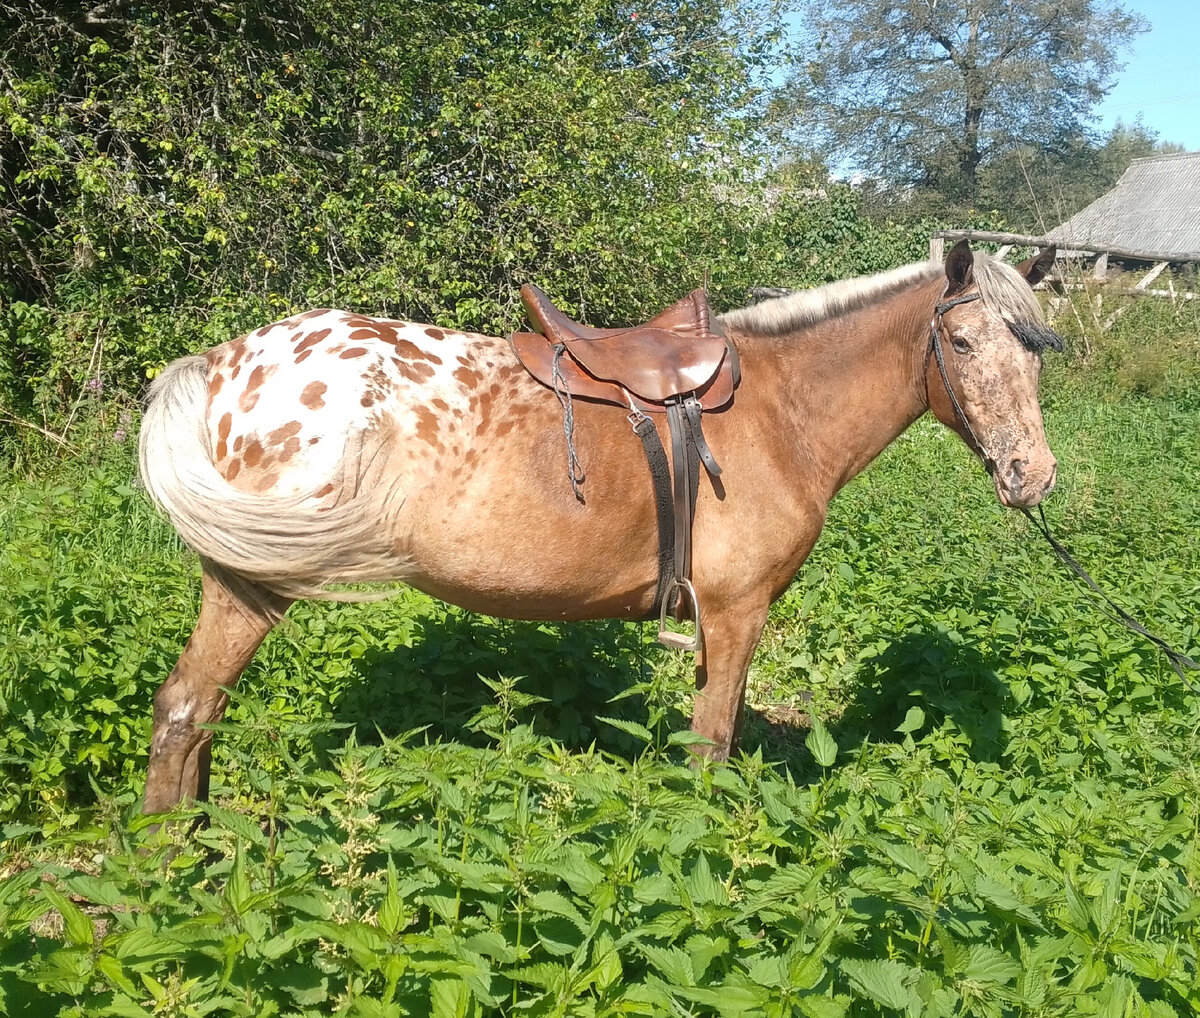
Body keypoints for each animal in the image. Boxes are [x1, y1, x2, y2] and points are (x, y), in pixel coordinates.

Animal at [138, 238, 1060, 811]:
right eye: (964, 345)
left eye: (1036, 349)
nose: (1032, 475)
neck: (782, 413)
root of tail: (221, 362)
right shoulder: (738, 613)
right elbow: (711, 746)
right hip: (250, 584)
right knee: (185, 705)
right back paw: (164, 862)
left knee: (201, 707)